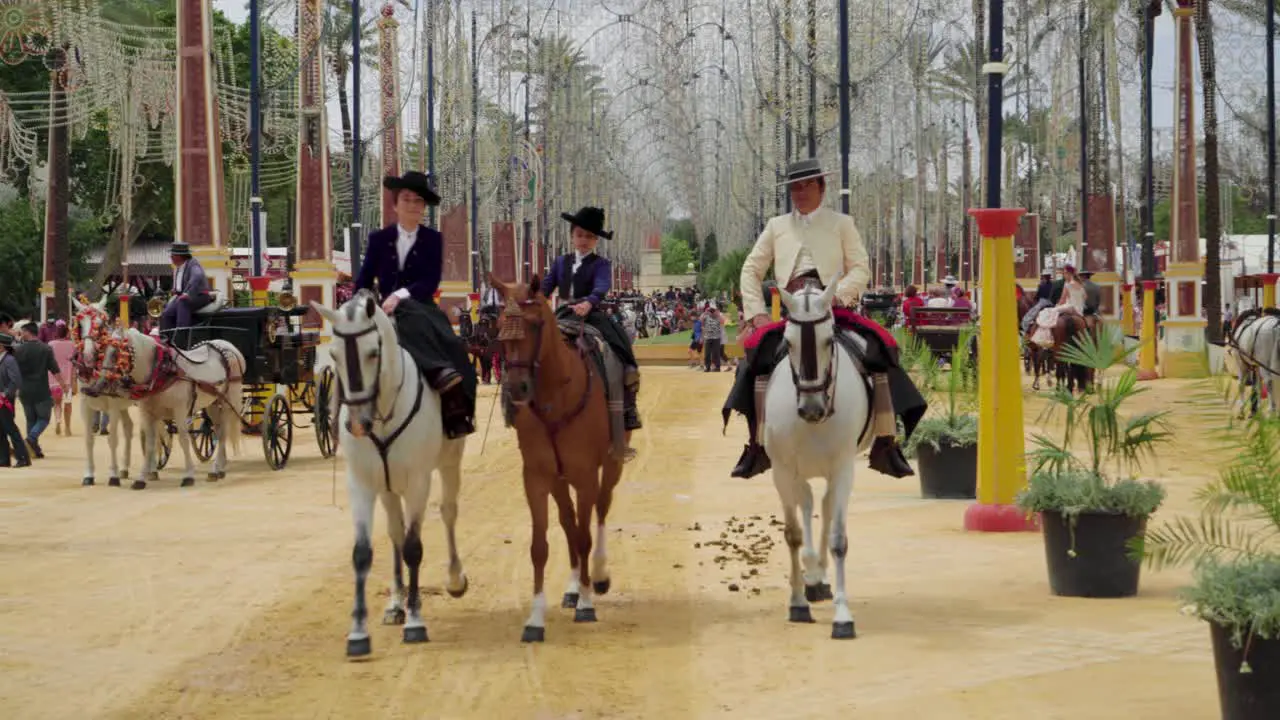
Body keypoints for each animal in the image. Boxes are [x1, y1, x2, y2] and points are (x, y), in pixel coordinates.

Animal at [70, 294, 136, 484]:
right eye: (79, 324)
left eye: (100, 325)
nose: (87, 355)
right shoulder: (85, 404)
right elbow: (88, 439)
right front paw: (88, 475)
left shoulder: (113, 405)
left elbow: (112, 439)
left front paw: (113, 475)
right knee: (129, 427)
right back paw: (124, 468)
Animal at [94, 324, 244, 486]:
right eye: (102, 351)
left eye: (116, 352)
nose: (101, 383)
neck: (162, 371)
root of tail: (227, 346)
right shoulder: (147, 413)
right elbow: (150, 444)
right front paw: (142, 478)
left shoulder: (180, 411)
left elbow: (183, 440)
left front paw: (188, 476)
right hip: (213, 403)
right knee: (219, 430)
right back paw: (219, 470)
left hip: (230, 401)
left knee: (223, 433)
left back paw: (216, 469)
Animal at [309, 289, 471, 655]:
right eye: (334, 355)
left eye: (372, 353)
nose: (357, 424)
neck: (381, 411)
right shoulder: (362, 484)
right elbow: (363, 552)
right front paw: (358, 633)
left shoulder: (418, 482)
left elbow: (414, 548)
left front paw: (415, 622)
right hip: (387, 486)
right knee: (395, 532)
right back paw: (397, 603)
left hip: (449, 461)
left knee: (449, 512)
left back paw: (454, 579)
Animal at [488, 274, 629, 638]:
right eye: (499, 325)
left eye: (535, 323)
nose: (517, 388)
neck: (555, 396)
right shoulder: (537, 477)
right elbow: (541, 546)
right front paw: (536, 619)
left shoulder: (585, 474)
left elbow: (585, 536)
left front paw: (587, 603)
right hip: (559, 478)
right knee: (568, 522)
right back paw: (573, 587)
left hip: (611, 464)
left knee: (601, 511)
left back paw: (598, 577)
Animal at [762, 274, 875, 638]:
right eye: (788, 342)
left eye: (828, 340)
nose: (811, 409)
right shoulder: (782, 471)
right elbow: (793, 534)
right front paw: (798, 601)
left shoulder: (842, 468)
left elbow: (838, 538)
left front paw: (842, 615)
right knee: (808, 503)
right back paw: (811, 576)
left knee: (823, 506)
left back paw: (820, 575)